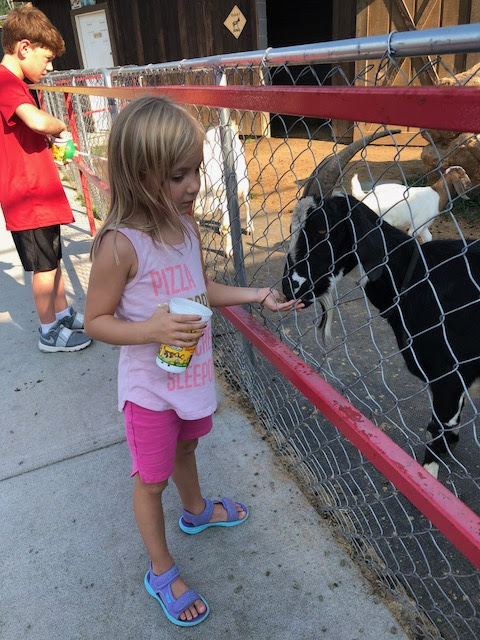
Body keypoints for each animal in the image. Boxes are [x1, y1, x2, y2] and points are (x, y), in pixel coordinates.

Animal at [194, 124, 252, 257]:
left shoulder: (224, 198)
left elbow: (227, 226)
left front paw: (228, 251)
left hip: (244, 182)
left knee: (247, 204)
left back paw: (249, 228)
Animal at [282, 194, 480, 479]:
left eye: (322, 230)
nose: (289, 288)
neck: (416, 277)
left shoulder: (448, 376)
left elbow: (437, 427)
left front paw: (429, 472)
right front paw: (449, 445)